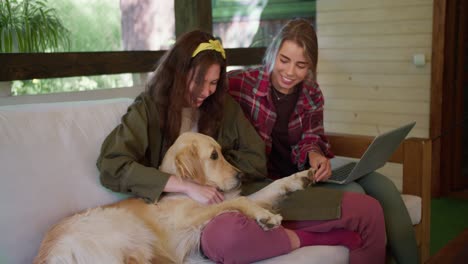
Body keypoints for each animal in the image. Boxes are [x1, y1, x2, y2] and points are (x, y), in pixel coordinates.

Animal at [34, 132, 312, 264]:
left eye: (223, 152)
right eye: (214, 156)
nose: (241, 175)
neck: (186, 187)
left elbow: (267, 189)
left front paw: (300, 177)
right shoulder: (190, 216)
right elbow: (241, 201)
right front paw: (265, 217)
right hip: (127, 229)